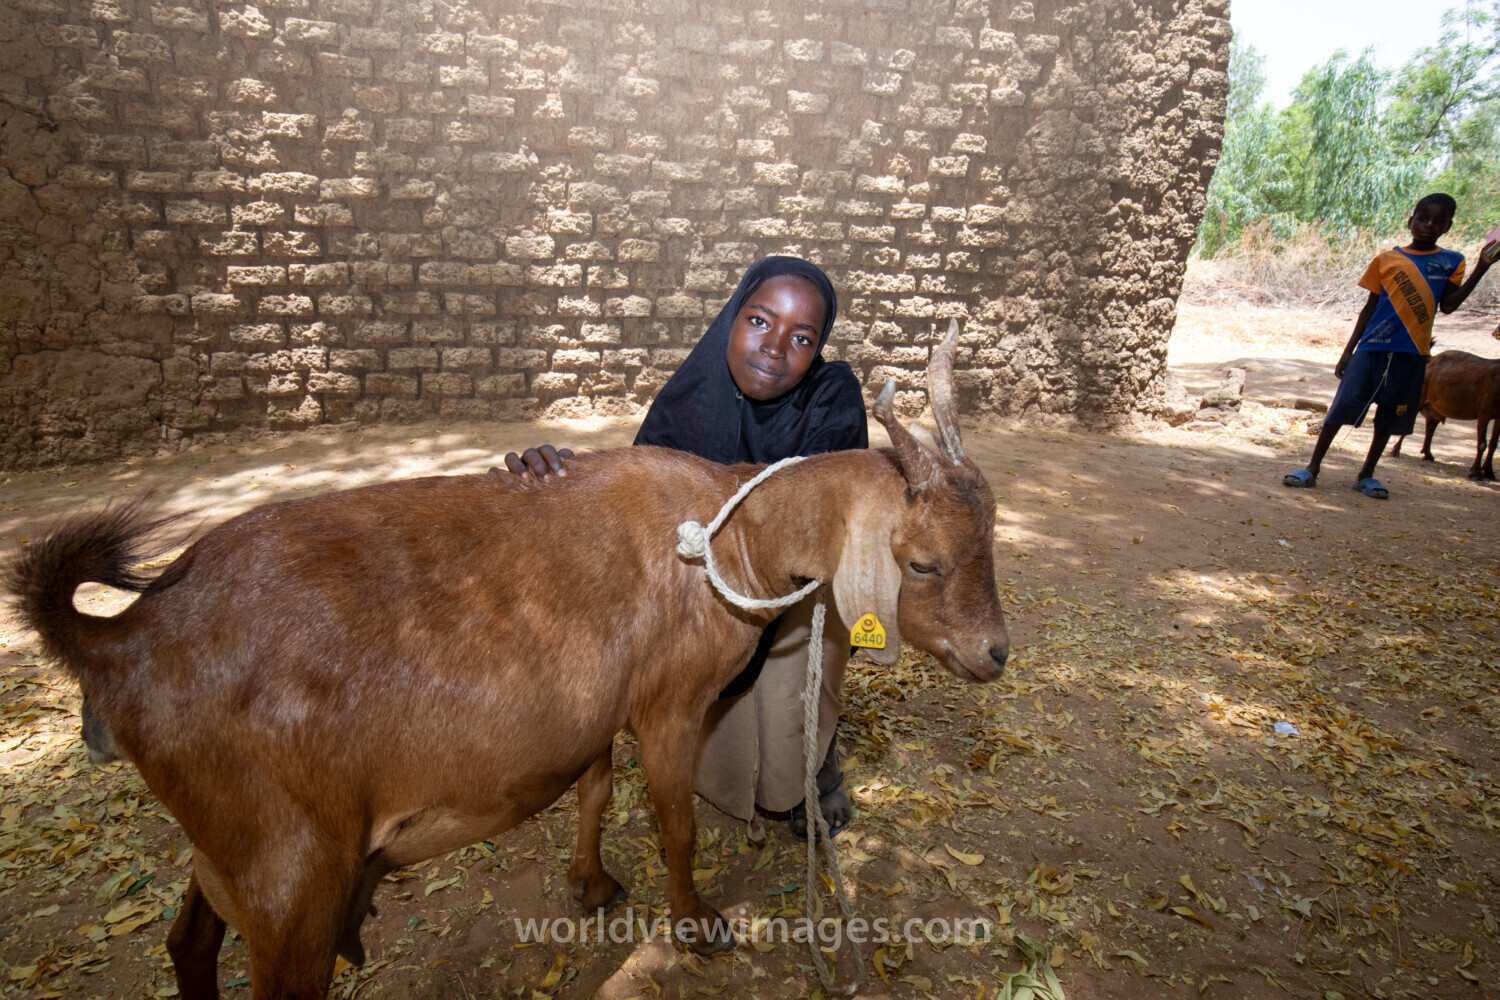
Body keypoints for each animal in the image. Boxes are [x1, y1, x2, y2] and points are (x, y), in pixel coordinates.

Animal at [6, 321, 1007, 1000]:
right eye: (924, 562)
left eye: (992, 537)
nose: (994, 653)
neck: (729, 537)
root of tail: (122, 639)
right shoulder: (669, 703)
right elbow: (675, 823)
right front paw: (697, 926)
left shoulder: (598, 710)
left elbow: (595, 789)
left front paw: (593, 885)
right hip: (291, 874)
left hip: (232, 849)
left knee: (187, 943)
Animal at [1389, 350, 1500, 480]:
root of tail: (1432, 360)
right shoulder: (1484, 415)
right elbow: (1482, 444)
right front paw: (1476, 473)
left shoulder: (1498, 418)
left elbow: (1493, 444)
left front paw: (1488, 472)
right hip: (1420, 398)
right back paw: (1395, 450)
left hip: (1437, 407)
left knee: (1431, 426)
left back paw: (1427, 453)